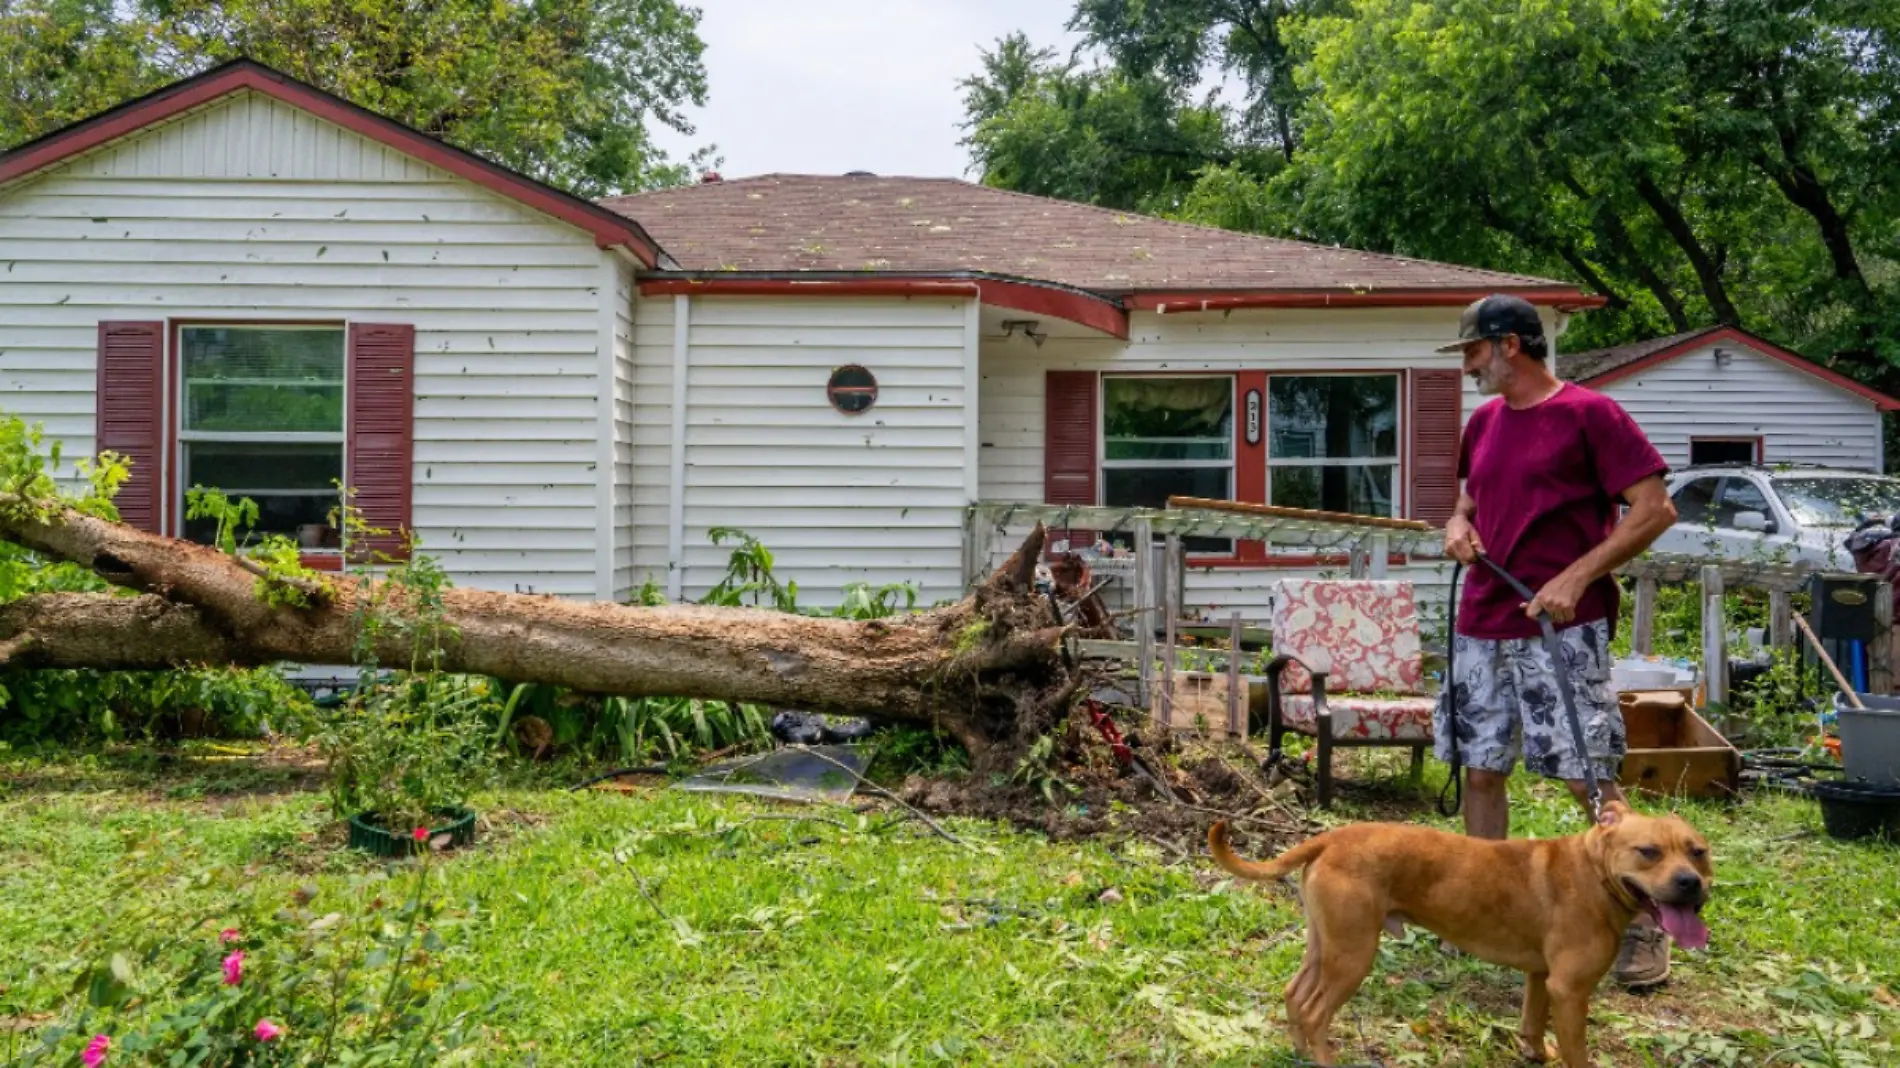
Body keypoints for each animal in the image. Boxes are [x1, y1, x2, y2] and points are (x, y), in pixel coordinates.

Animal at [1208, 801, 1717, 1056]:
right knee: (1315, 1013)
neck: (1596, 870)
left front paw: (1535, 1054)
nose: (1690, 883)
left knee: (1295, 997)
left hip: (1327, 947)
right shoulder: (1571, 990)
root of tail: (1332, 836)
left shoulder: (1542, 979)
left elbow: (1532, 1026)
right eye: (1648, 852)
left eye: (1698, 851)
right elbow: (1578, 1054)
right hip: (1353, 958)